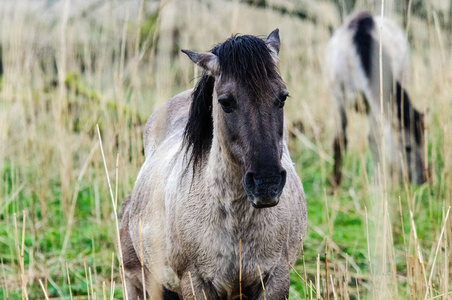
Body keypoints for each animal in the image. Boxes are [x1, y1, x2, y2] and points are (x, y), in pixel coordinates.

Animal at [119, 29, 308, 298]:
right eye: (225, 101)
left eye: (282, 97)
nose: (266, 183)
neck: (236, 223)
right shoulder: (195, 282)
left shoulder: (276, 278)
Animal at [324, 12, 428, 188]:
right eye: (407, 147)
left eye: (424, 143)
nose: (422, 179)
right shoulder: (338, 99)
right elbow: (340, 141)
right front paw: (334, 186)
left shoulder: (375, 104)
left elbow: (374, 140)